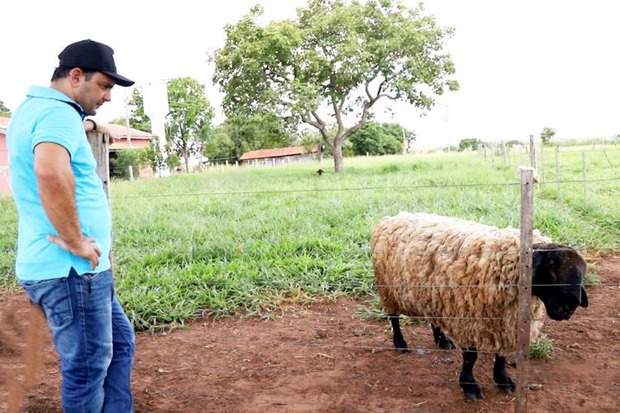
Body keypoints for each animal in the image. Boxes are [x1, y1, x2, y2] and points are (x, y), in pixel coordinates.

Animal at [370, 212, 588, 400]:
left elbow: (501, 355)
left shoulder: (506, 324)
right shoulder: (468, 318)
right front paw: (469, 386)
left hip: (433, 294)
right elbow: (470, 357)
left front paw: (503, 380)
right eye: (551, 263)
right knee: (394, 318)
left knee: (433, 317)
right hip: (388, 290)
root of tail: (393, 216)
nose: (570, 308)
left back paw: (442, 340)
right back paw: (400, 343)